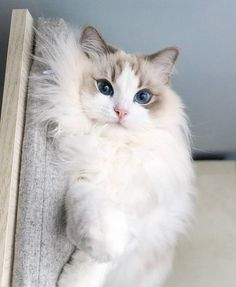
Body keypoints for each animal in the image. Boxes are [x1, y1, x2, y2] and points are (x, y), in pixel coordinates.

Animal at [34, 21, 195, 286]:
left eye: (143, 97)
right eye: (104, 88)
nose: (121, 112)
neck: (115, 149)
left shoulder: (140, 217)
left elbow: (98, 263)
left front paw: (80, 275)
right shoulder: (82, 178)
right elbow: (94, 214)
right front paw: (100, 244)